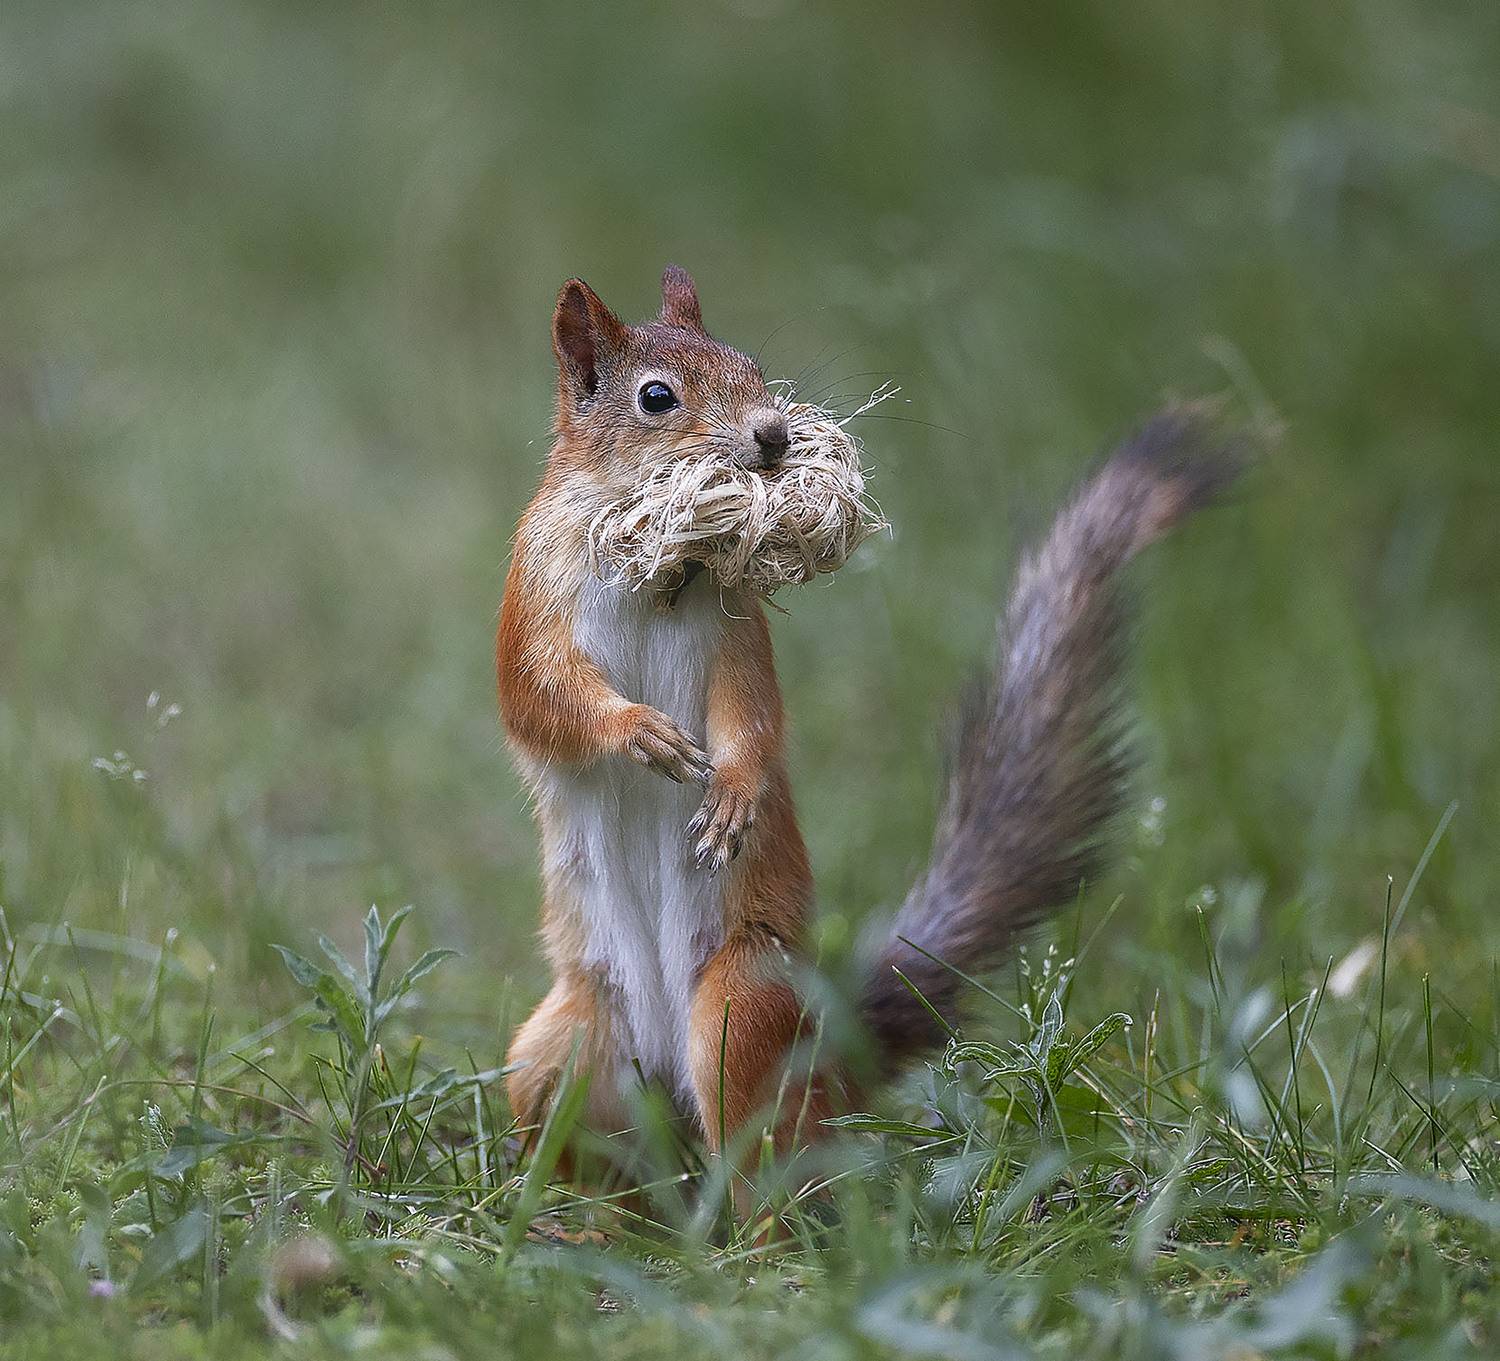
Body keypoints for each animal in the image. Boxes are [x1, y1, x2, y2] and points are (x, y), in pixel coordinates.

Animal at [497, 265, 1241, 1158]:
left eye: (751, 363)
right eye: (655, 397)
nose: (773, 436)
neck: (655, 559)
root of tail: (826, 1044)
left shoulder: (735, 627)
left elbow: (751, 714)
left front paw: (735, 793)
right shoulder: (534, 597)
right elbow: (540, 698)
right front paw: (636, 730)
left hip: (739, 1013)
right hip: (563, 1049)